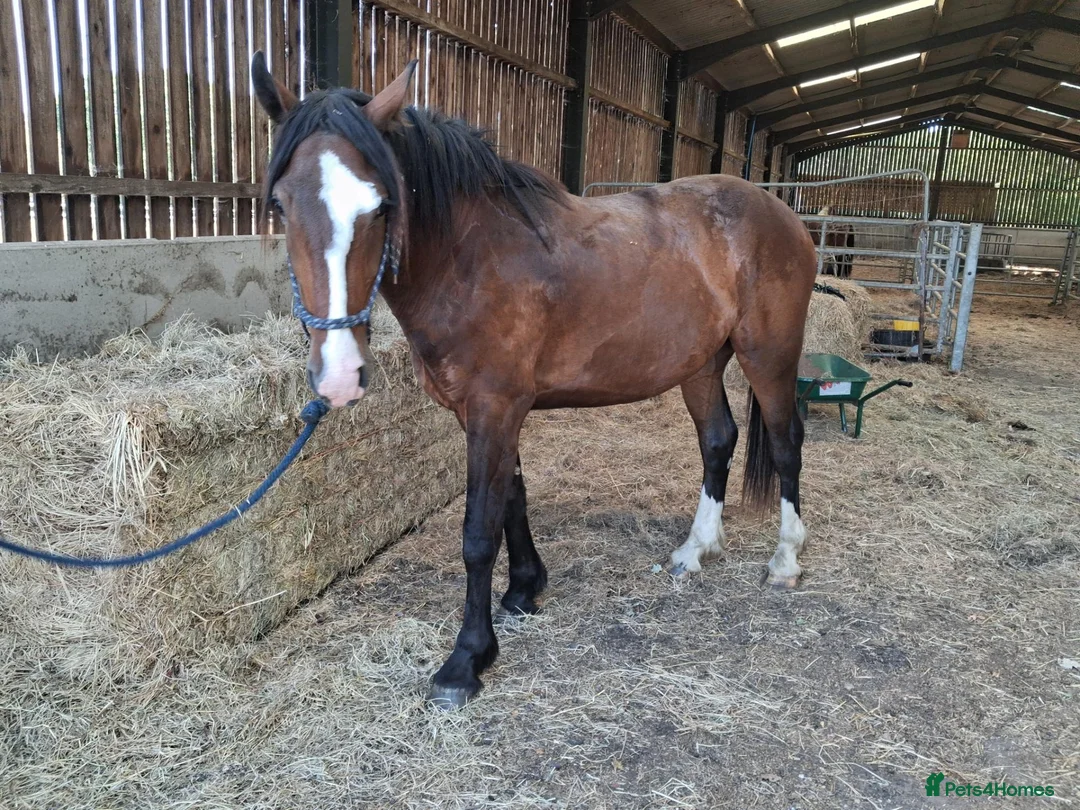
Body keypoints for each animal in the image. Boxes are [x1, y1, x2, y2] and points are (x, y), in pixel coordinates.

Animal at [251, 54, 818, 710]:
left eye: (381, 206)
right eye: (281, 205)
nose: (339, 374)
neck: (470, 259)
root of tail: (783, 214)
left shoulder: (495, 407)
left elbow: (478, 531)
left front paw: (466, 660)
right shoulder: (490, 411)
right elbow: (513, 502)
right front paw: (524, 590)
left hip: (768, 354)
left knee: (786, 442)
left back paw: (785, 560)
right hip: (701, 364)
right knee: (718, 440)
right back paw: (695, 550)